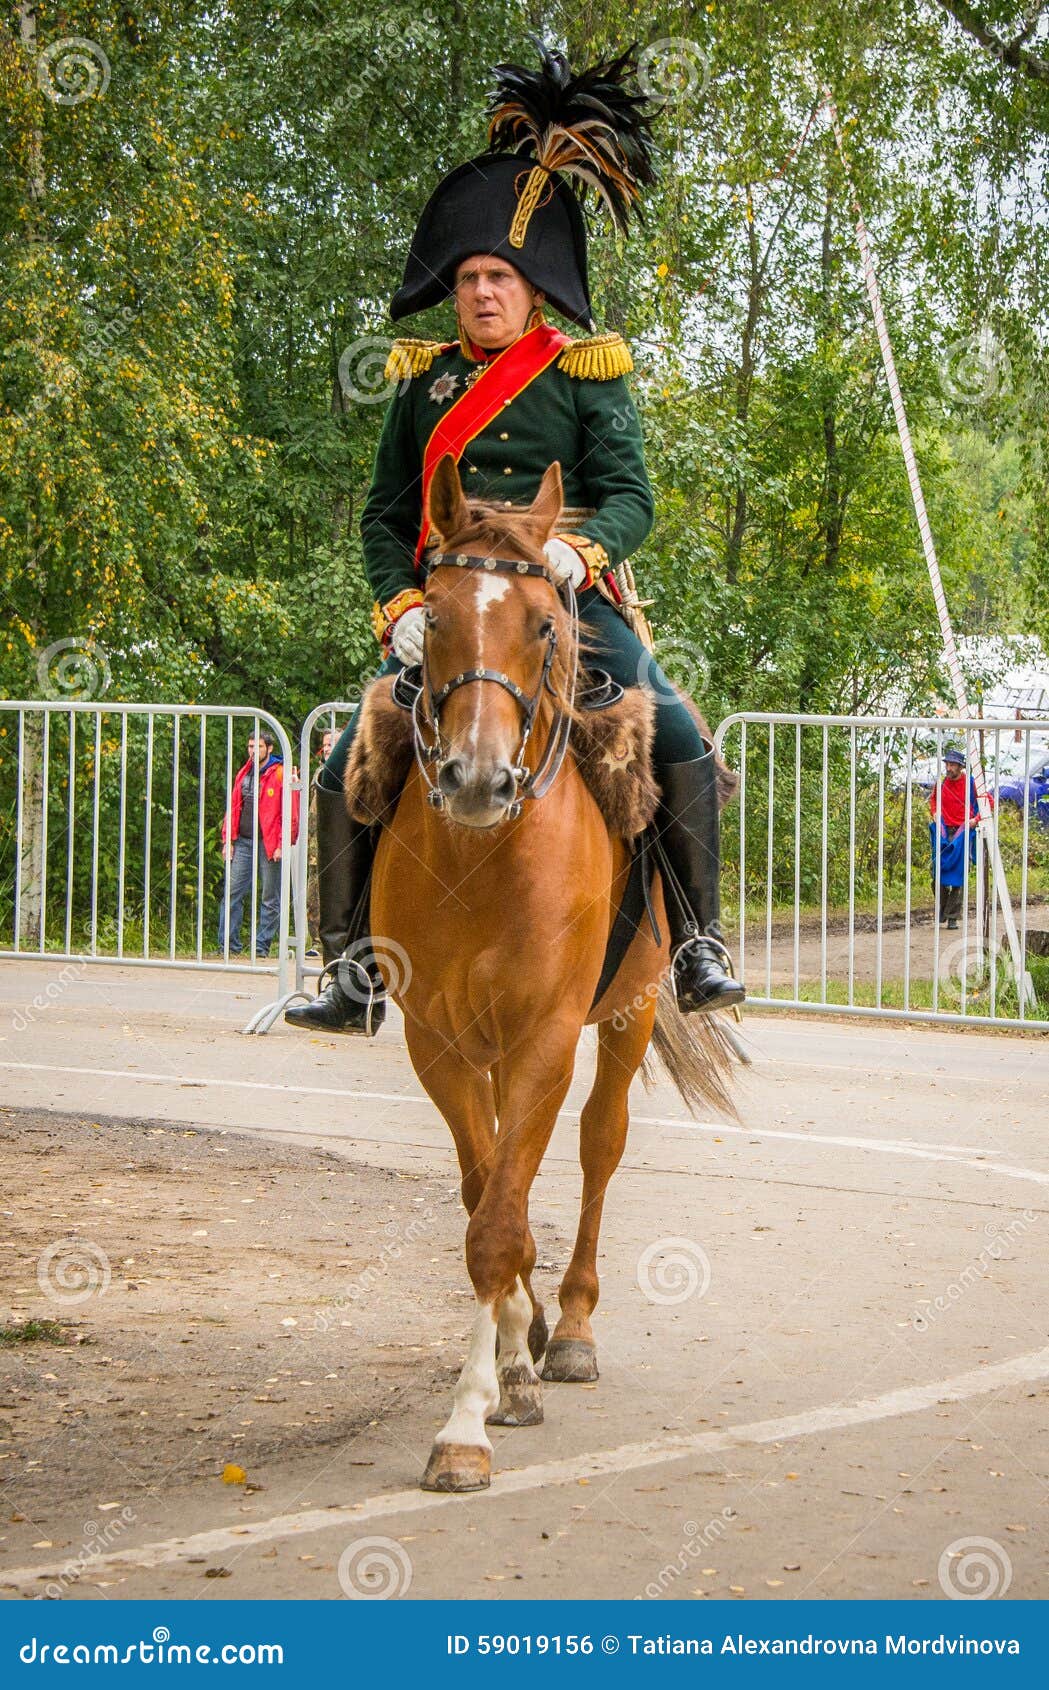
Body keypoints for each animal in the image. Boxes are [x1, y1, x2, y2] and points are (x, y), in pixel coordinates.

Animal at [371, 452, 733, 1493]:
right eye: (433, 617)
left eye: (542, 623)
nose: (476, 779)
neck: (483, 858)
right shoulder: (438, 1040)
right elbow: (485, 1200)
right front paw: (507, 1363)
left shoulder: (546, 1038)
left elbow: (501, 1220)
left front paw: (468, 1422)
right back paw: (532, 1335)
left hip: (631, 1010)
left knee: (598, 1149)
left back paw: (569, 1328)